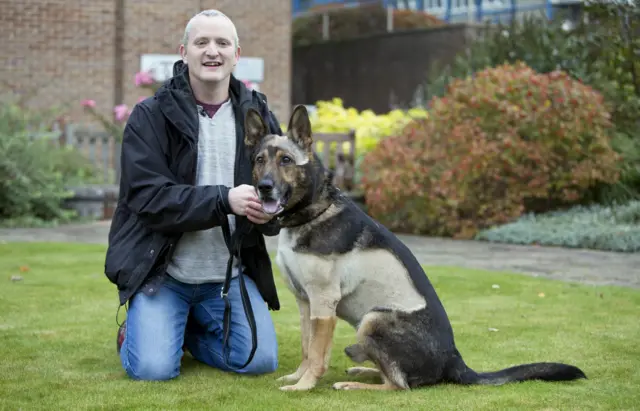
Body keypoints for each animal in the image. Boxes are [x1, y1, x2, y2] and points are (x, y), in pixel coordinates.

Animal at [244, 104, 584, 392]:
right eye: (260, 160)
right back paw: (362, 370)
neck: (313, 210)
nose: (264, 188)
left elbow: (316, 353)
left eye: (286, 160)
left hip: (373, 319)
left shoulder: (324, 304)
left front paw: (303, 386)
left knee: (399, 385)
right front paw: (298, 378)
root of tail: (454, 360)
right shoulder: (306, 303)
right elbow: (308, 348)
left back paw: (355, 384)